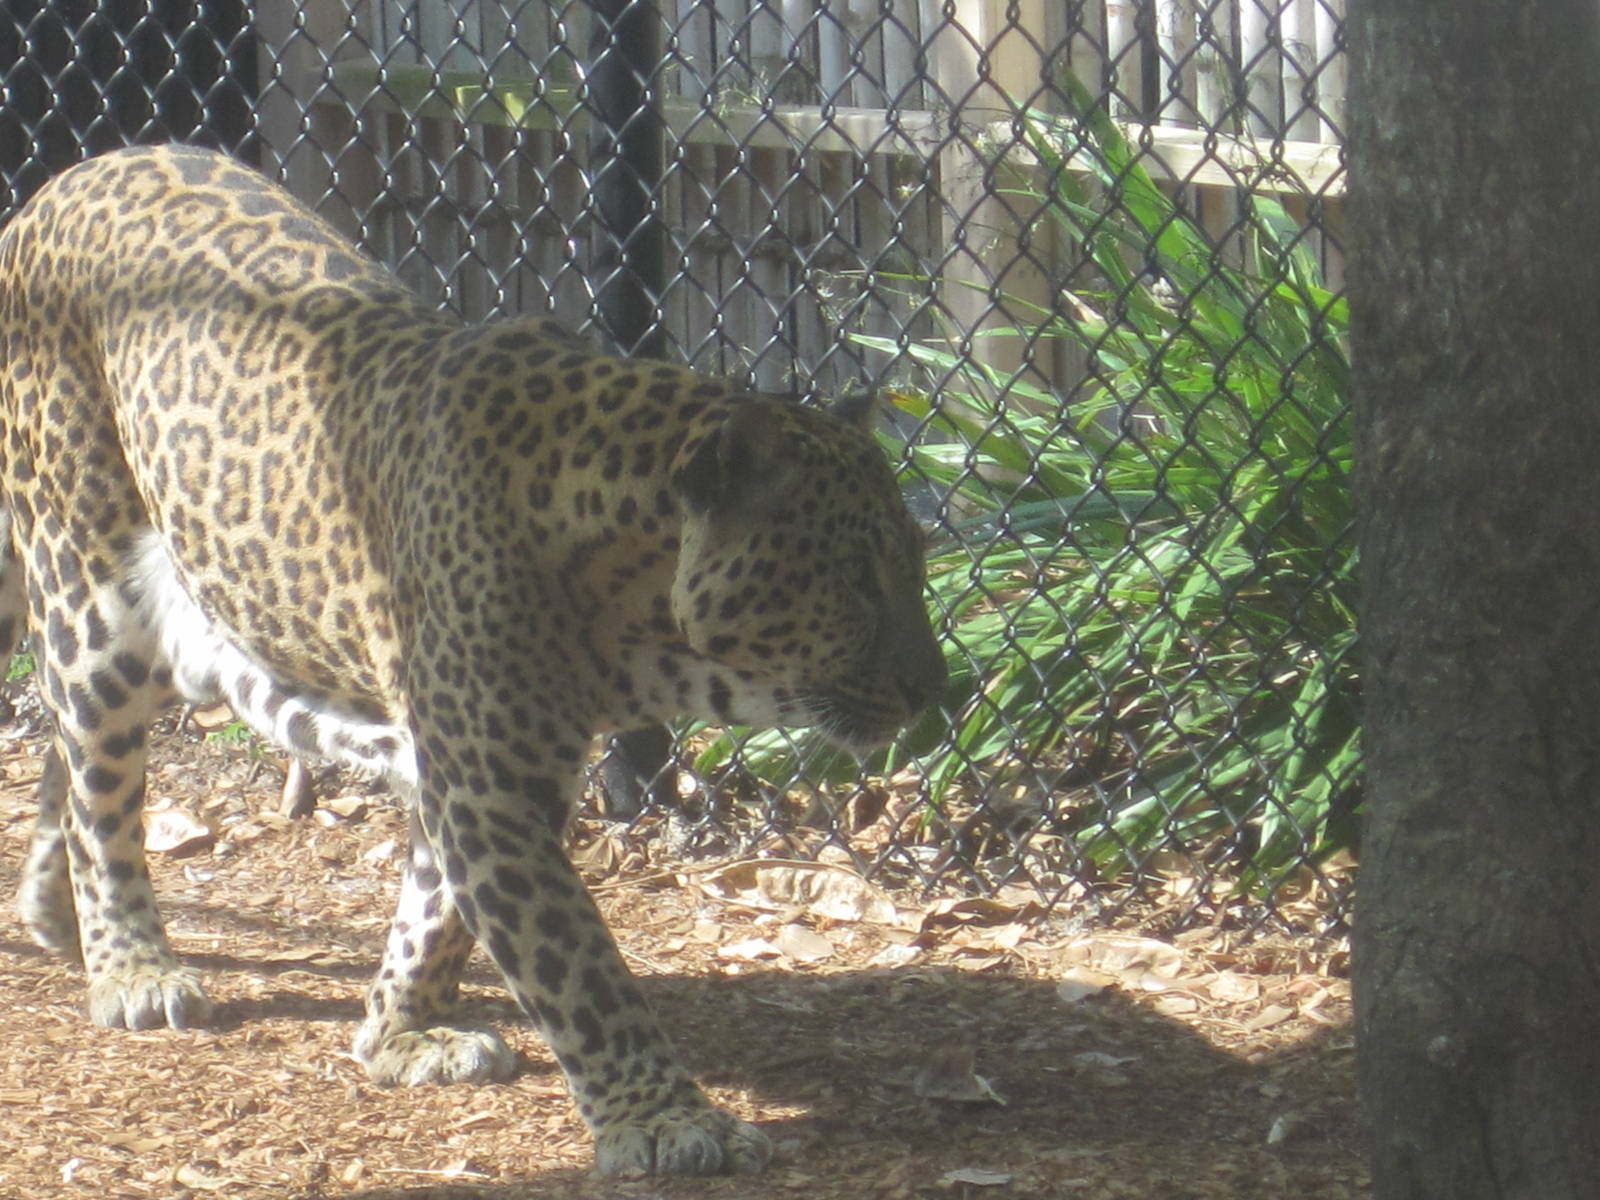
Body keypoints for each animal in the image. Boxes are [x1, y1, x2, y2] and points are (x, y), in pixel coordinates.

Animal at [0, 144, 946, 1176]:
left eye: (916, 561)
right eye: (854, 577)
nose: (939, 687)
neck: (630, 586)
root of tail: (61, 184)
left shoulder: (485, 771)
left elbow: (434, 913)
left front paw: (397, 1036)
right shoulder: (489, 787)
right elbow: (580, 967)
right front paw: (666, 1118)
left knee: (71, 757)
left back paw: (55, 917)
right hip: (89, 590)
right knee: (101, 780)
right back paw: (130, 966)